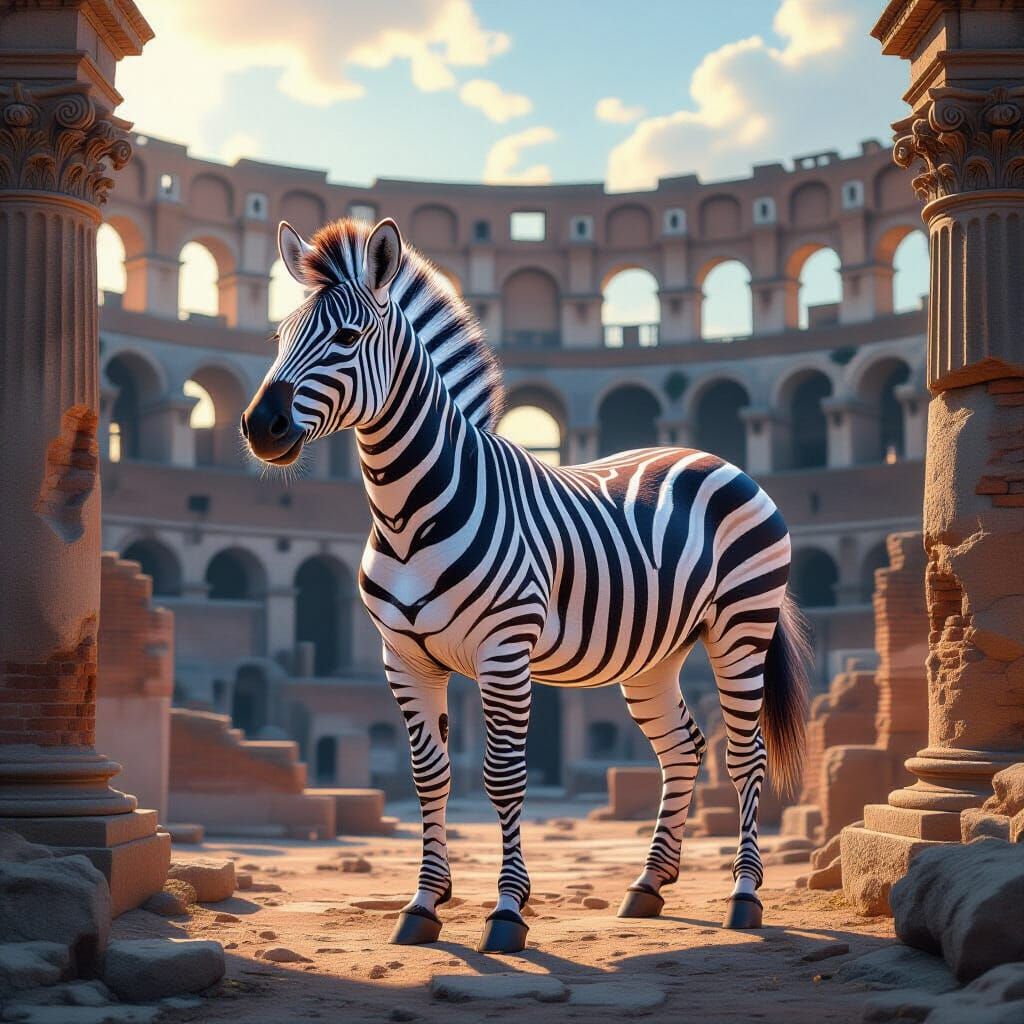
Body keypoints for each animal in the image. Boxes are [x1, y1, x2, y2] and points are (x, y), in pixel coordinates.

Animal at [242, 216, 811, 955]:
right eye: (280, 337)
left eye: (347, 336)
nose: (260, 427)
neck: (406, 515)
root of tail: (712, 456)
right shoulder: (404, 659)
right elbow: (430, 778)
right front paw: (423, 904)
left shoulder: (504, 652)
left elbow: (504, 776)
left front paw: (508, 911)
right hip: (656, 654)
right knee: (683, 748)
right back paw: (648, 886)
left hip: (741, 628)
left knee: (745, 756)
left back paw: (744, 897)